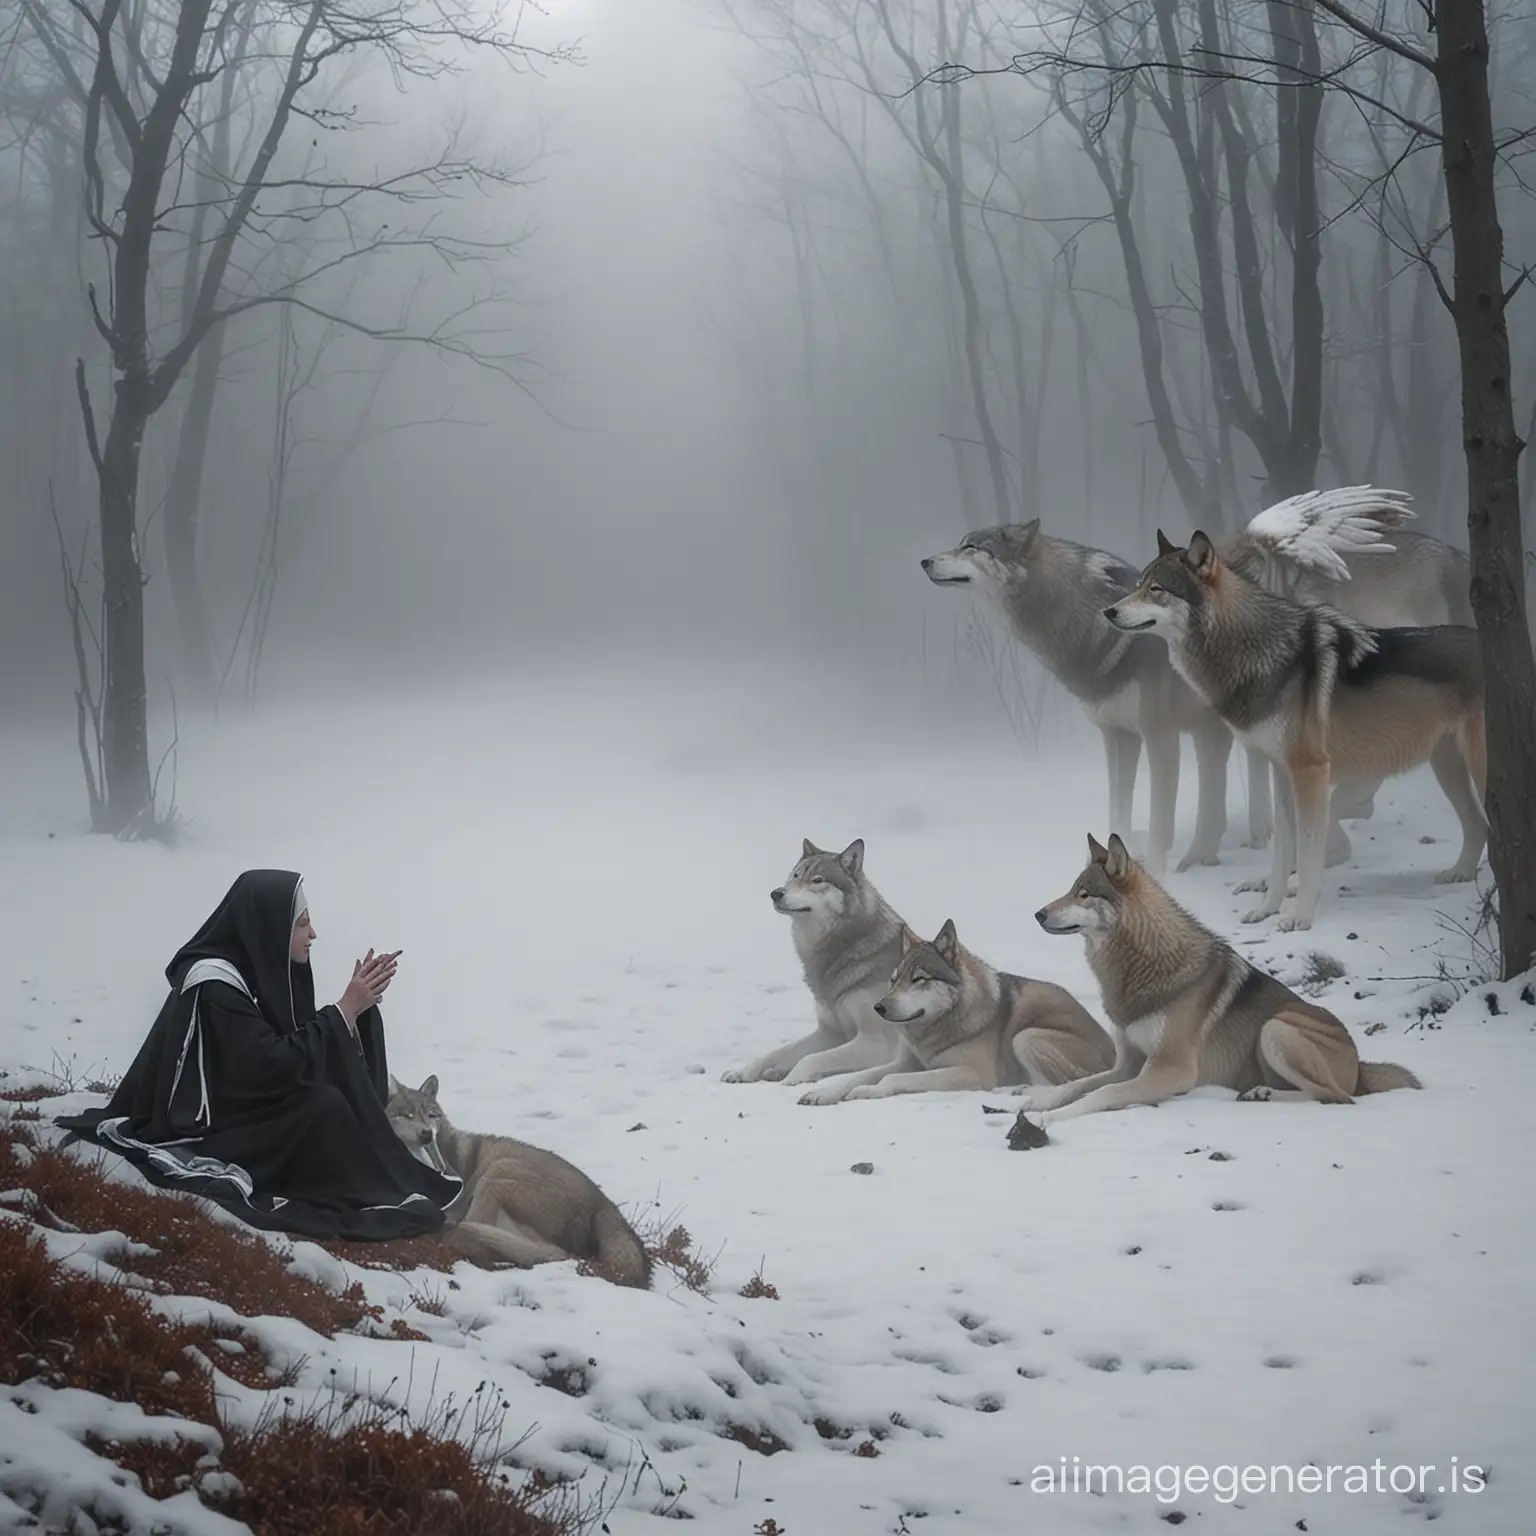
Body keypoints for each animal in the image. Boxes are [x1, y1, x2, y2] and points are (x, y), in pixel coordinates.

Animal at [721, 841, 903, 1105]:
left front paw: (792, 1079)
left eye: (817, 880)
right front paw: (743, 1071)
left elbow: (810, 1059)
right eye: (795, 876)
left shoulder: (875, 1042)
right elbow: (776, 1052)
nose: (776, 893)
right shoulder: (830, 1034)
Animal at [792, 909, 1118, 1105]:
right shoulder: (906, 1062)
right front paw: (823, 1092)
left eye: (919, 979)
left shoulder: (971, 1073)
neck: (942, 1023)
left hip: (1026, 1037)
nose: (879, 1008)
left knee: (1066, 1082)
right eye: (893, 980)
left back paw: (1022, 1090)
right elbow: (854, 1076)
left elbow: (889, 1079)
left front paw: (869, 1091)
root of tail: (1116, 1053)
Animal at [1026, 835, 1419, 1124]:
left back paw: (1264, 1094)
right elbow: (1077, 1084)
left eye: (1084, 894)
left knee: (1336, 1098)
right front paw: (1033, 1102)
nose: (1038, 914)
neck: (1145, 965)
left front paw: (1050, 1119)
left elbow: (1100, 1093)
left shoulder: (1171, 1070)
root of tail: (1360, 1066)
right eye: (1072, 889)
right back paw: (1261, 1092)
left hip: (1275, 1030)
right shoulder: (1127, 1065)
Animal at [1105, 534, 1486, 927]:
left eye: (1156, 589)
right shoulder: (1282, 773)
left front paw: (1300, 918)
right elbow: (1283, 853)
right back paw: (1460, 873)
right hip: (1447, 768)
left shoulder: (1311, 773)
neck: (1260, 654)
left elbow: (1307, 853)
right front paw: (1266, 909)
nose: (1109, 612)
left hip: (1478, 768)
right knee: (1479, 827)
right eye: (1138, 586)